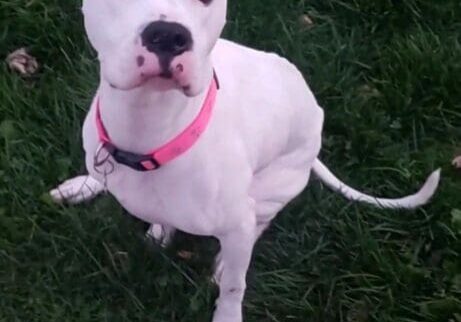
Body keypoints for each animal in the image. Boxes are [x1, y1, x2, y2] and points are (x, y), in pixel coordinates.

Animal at [48, 1, 440, 320]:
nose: (168, 36)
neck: (148, 133)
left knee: (261, 222)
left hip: (273, 187)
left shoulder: (237, 223)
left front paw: (227, 307)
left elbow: (234, 289)